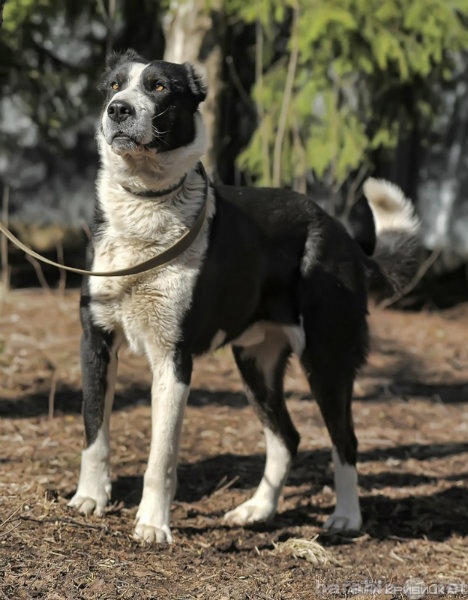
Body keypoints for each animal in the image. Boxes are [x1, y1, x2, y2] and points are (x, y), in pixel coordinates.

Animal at [68, 50, 420, 544]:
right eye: (114, 86)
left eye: (159, 87)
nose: (118, 110)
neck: (146, 202)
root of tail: (346, 237)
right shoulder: (95, 342)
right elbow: (94, 429)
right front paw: (90, 498)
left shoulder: (173, 360)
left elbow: (161, 457)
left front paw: (153, 524)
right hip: (256, 364)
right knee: (287, 438)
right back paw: (258, 510)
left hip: (326, 361)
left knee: (345, 439)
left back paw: (346, 518)